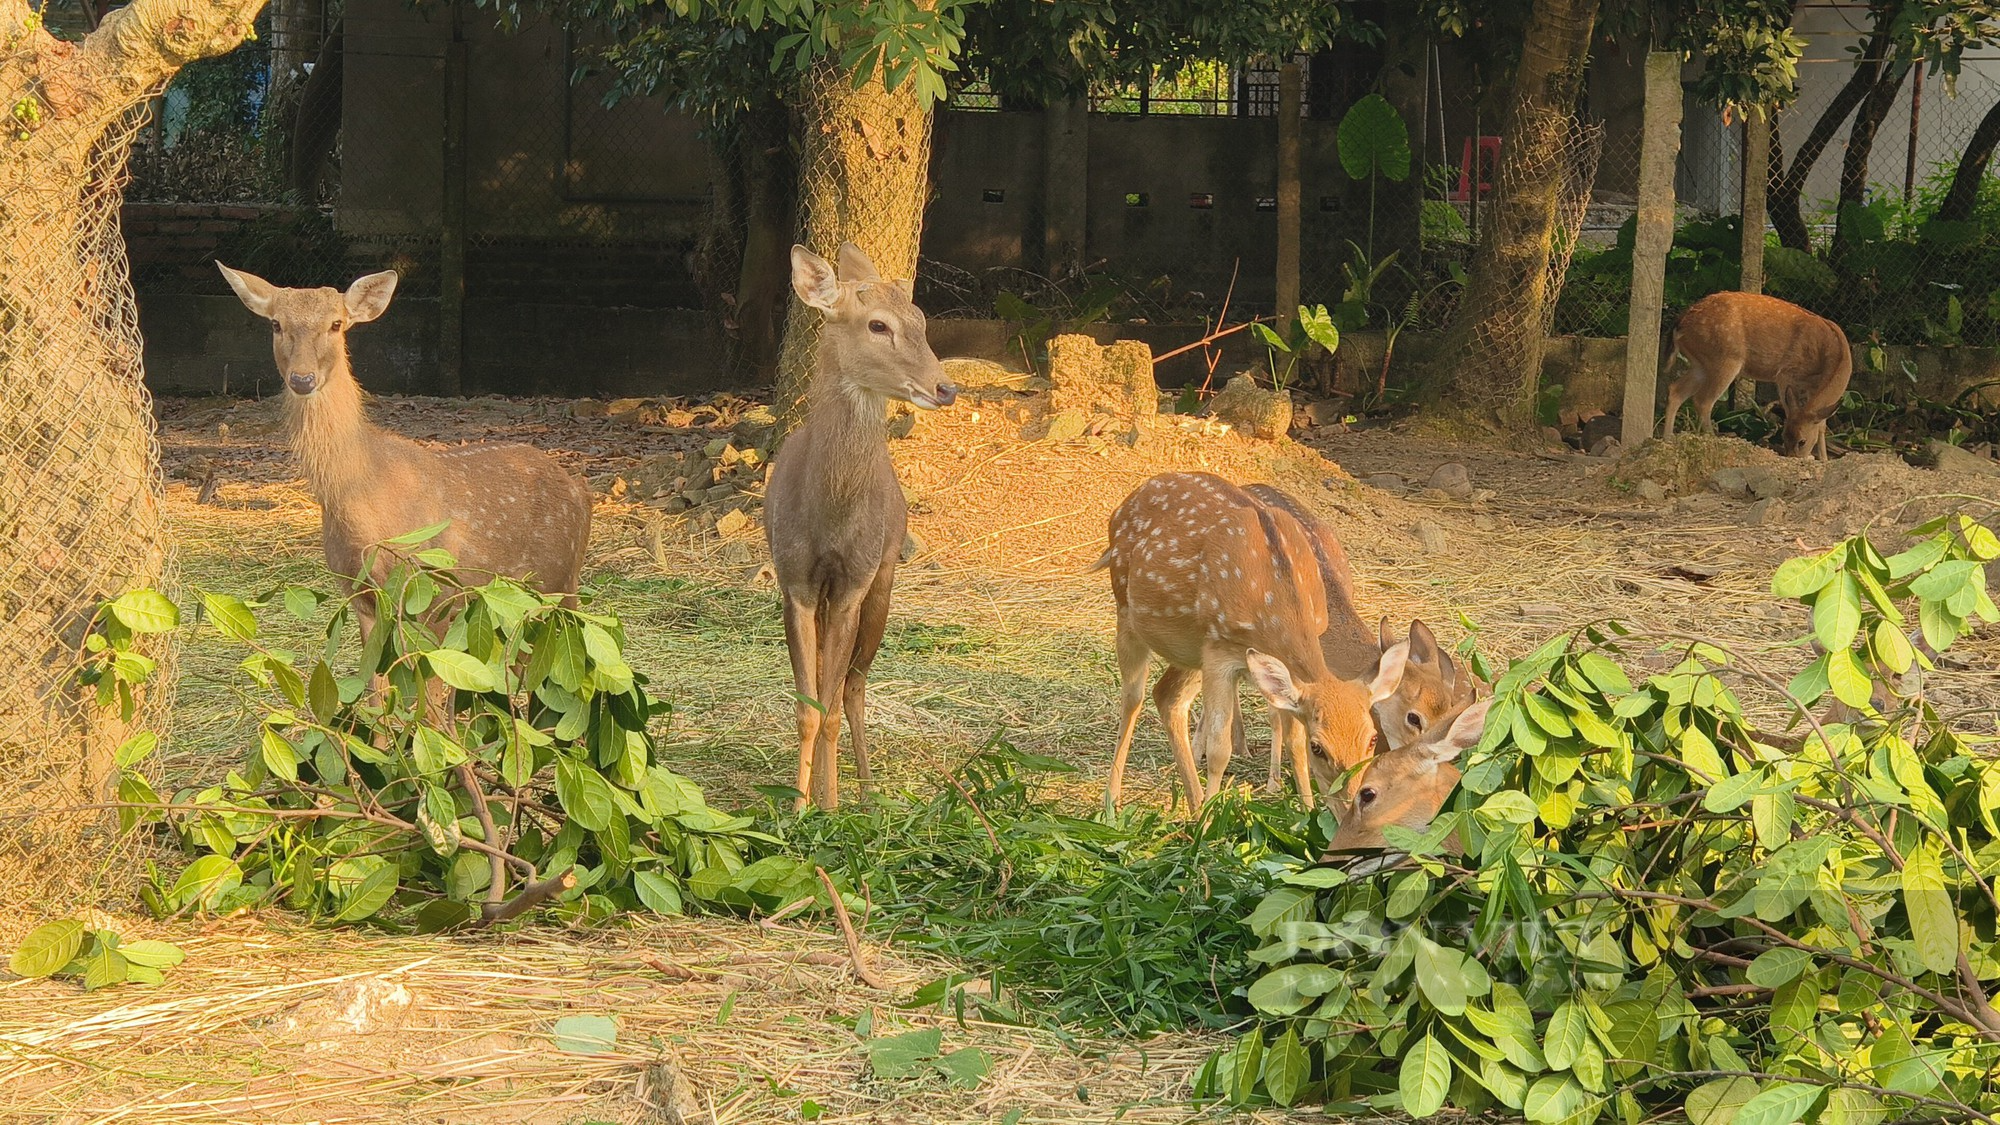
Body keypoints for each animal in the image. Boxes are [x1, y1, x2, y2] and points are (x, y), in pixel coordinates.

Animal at [223, 256, 592, 640]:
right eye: (276, 324)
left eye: (336, 324)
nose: (302, 379)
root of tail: (582, 492)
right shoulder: (361, 597)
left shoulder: (435, 593)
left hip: (556, 579)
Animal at [760, 243, 956, 804]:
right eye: (877, 325)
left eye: (921, 320)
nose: (946, 388)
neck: (827, 518)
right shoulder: (796, 582)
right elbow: (807, 709)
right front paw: (800, 805)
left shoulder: (854, 580)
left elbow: (829, 707)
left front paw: (830, 805)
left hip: (883, 579)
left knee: (855, 686)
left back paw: (867, 791)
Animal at [1096, 470, 1424, 804]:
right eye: (1318, 746)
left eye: (1371, 738)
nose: (1354, 797)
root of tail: (1122, 506)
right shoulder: (1219, 652)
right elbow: (1220, 750)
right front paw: (1212, 816)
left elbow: (1293, 744)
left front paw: (1305, 810)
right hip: (1129, 613)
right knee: (1133, 696)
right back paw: (1114, 799)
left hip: (1190, 648)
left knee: (1167, 696)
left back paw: (1195, 802)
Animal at [1664, 296, 1848, 462]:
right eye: (1783, 435)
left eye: (1802, 441)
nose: (1792, 457)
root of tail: (1681, 321)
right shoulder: (1786, 373)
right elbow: (1791, 411)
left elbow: (1822, 425)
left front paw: (1824, 459)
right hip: (1725, 358)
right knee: (1703, 400)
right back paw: (1712, 439)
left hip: (1700, 364)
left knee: (1676, 390)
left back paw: (1668, 438)